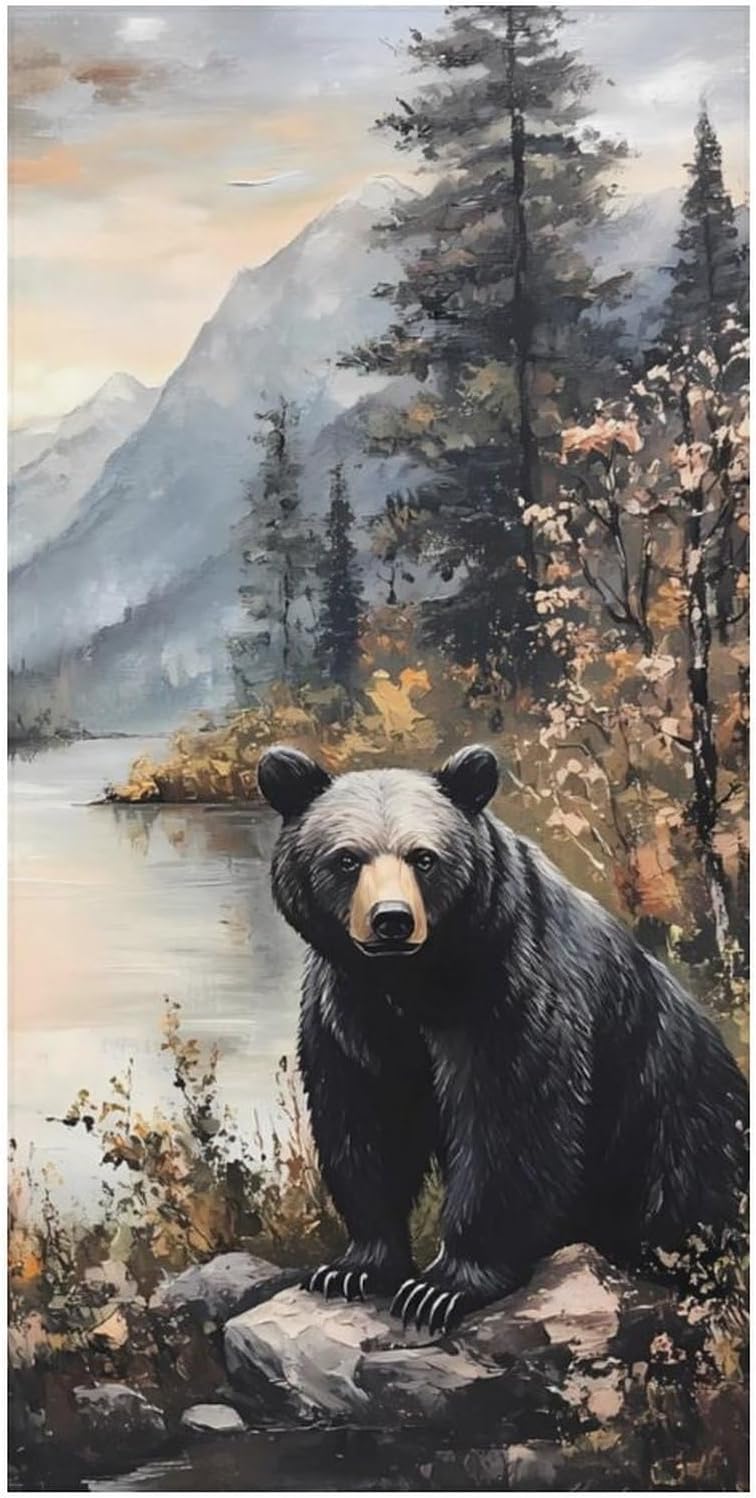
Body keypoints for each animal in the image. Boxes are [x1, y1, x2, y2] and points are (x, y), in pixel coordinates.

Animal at [257, 742, 748, 1334]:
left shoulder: (510, 992)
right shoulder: (351, 1013)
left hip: (678, 1130)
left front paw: (440, 1287)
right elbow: (365, 1123)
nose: (392, 920)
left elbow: (509, 1125)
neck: (415, 984)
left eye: (424, 857)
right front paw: (354, 1268)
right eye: (347, 859)